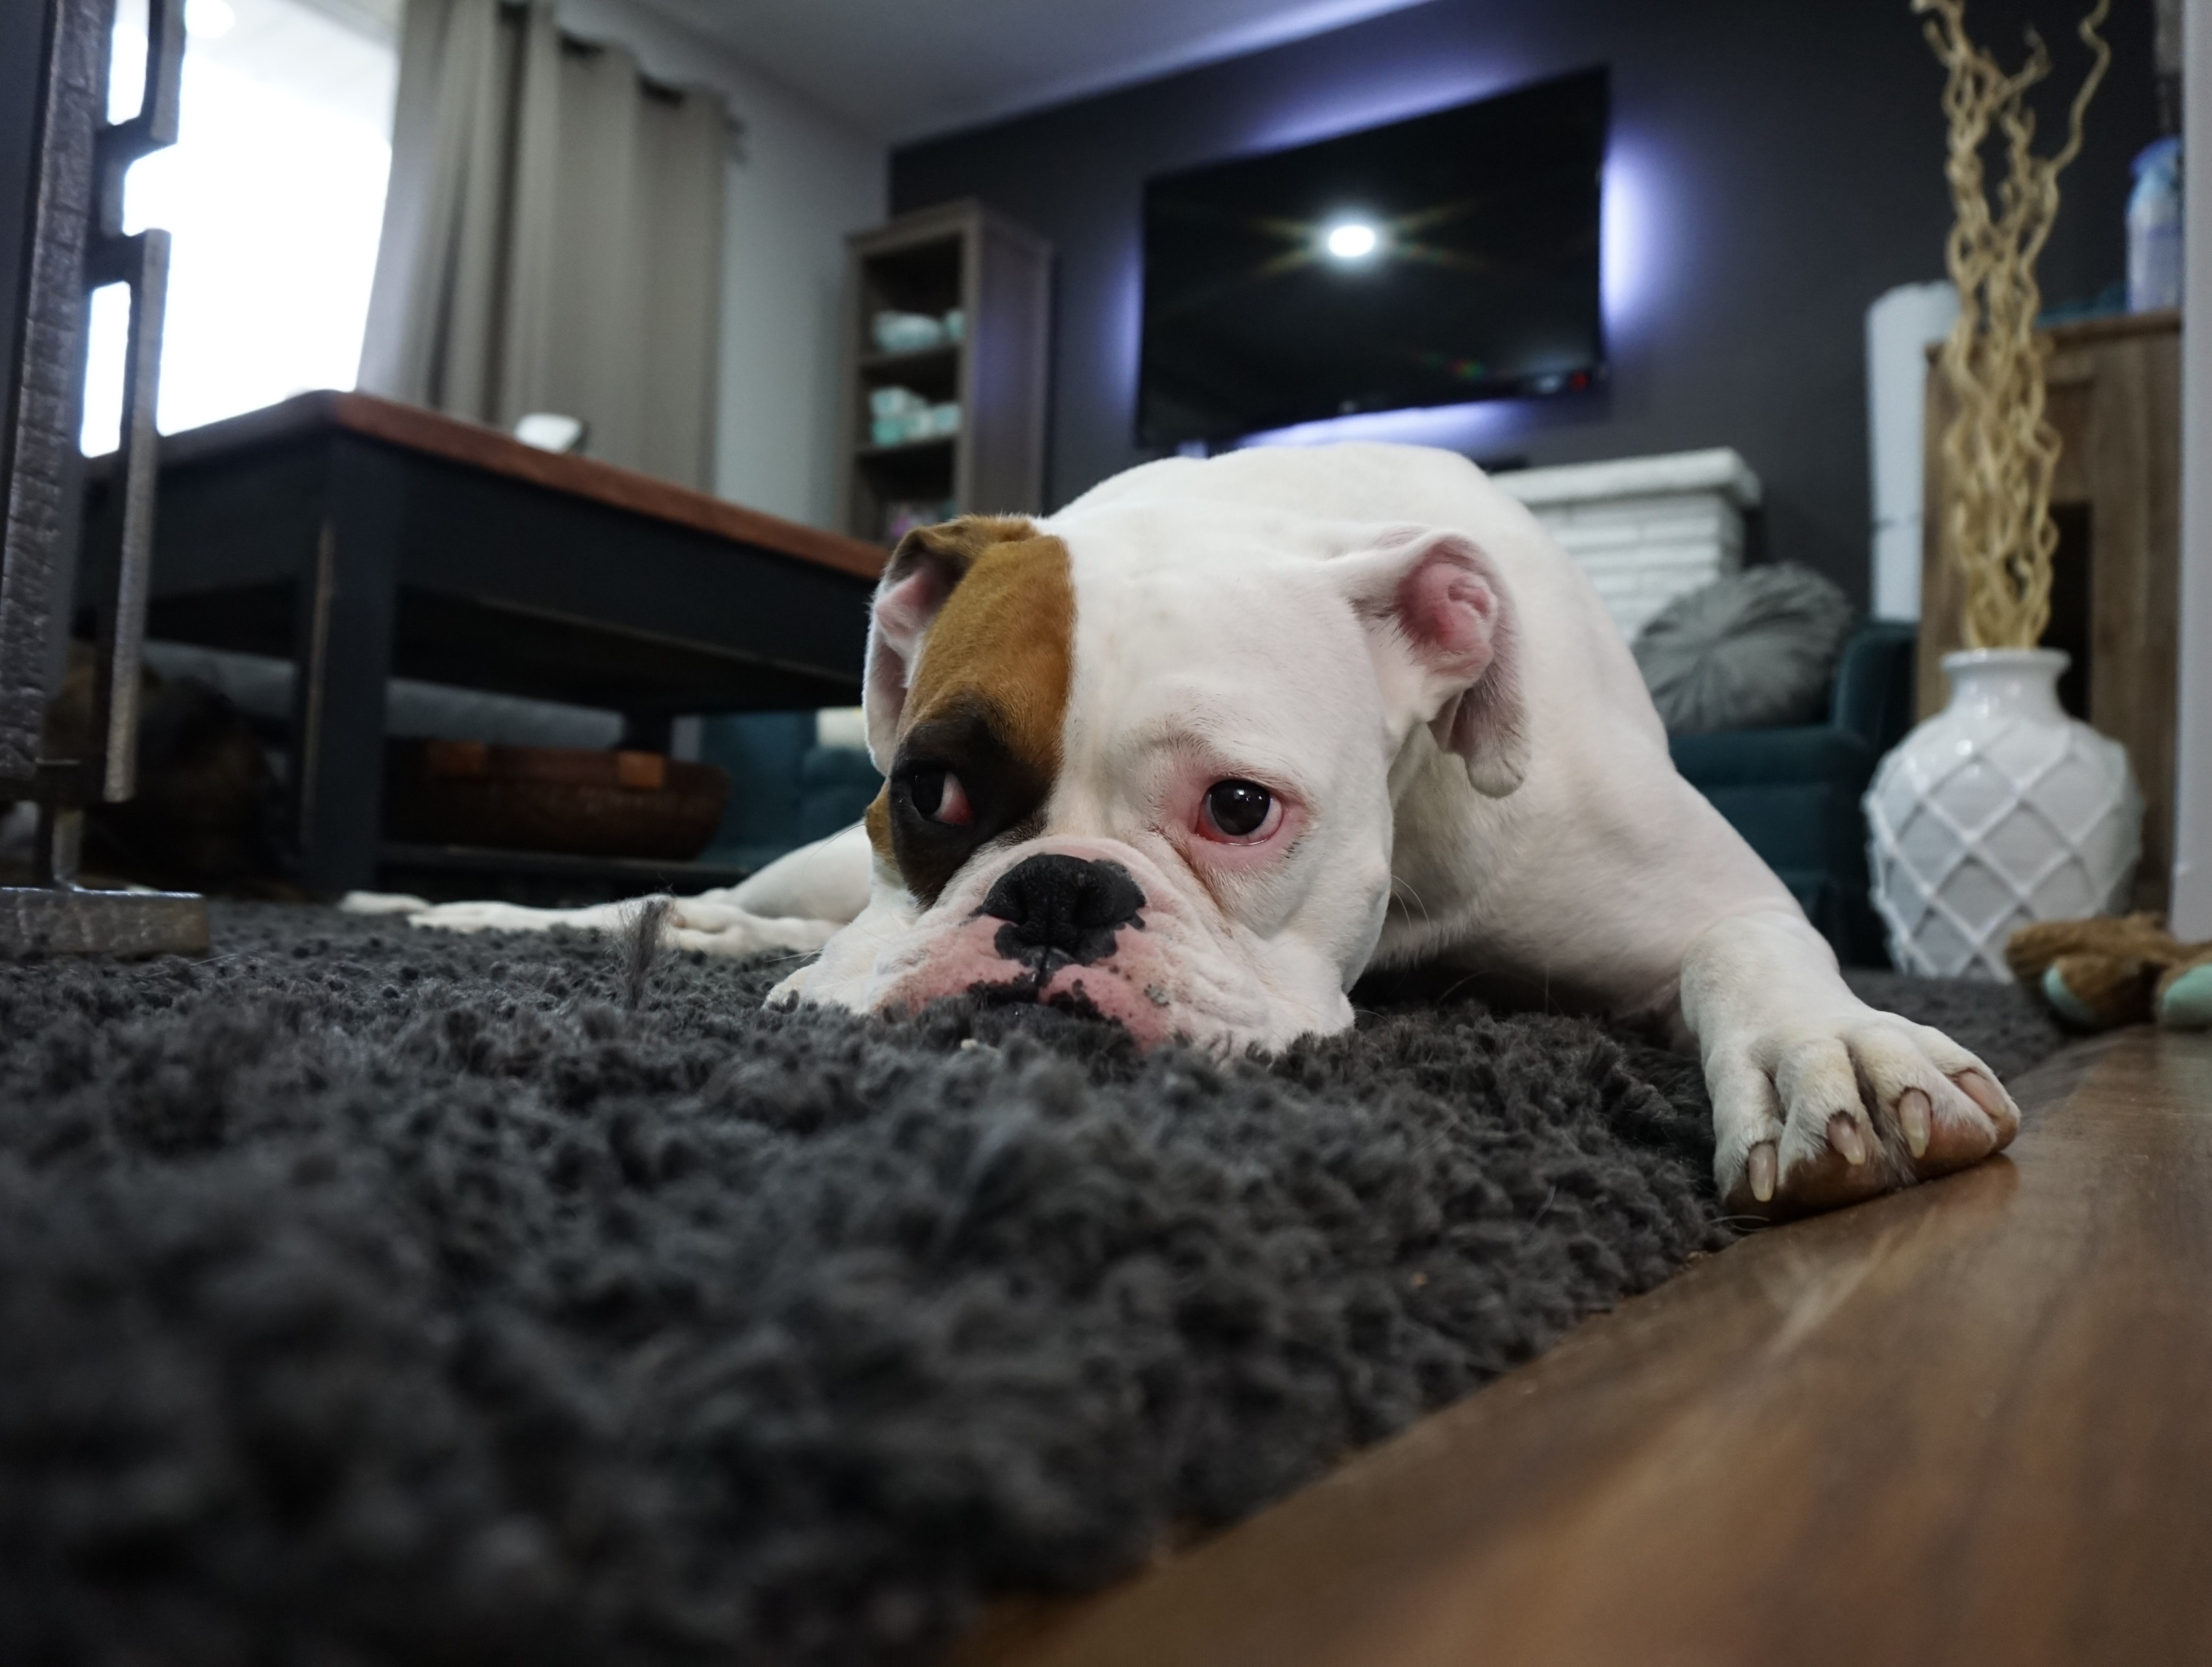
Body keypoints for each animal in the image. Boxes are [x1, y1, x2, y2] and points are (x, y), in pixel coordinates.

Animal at [378, 443, 2020, 1218]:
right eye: (934, 790)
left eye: (1238, 809)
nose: (1055, 895)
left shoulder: (1710, 894)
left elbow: (1758, 957)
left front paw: (1834, 1054)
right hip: (818, 858)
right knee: (731, 903)